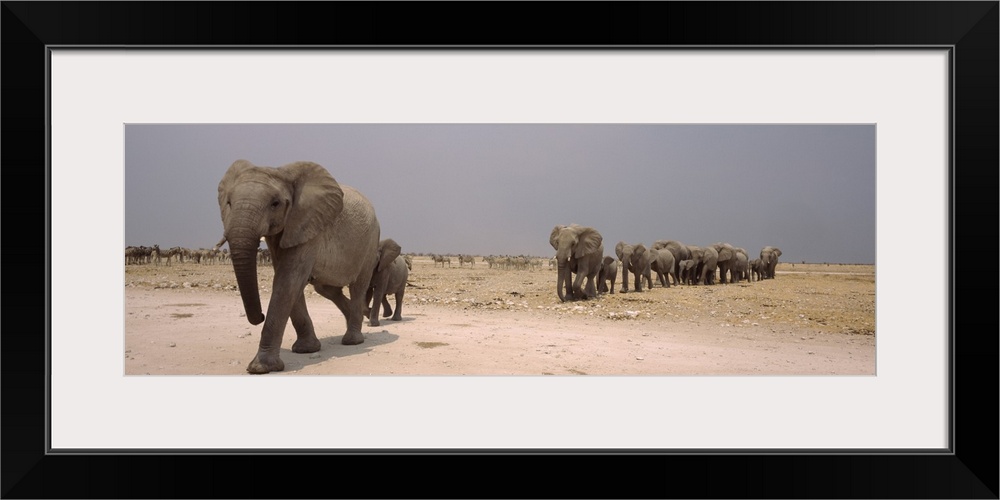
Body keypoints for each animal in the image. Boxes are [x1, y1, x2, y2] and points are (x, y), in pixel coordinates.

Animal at [217, 158, 380, 374]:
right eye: (228, 203)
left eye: (275, 204)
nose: (260, 316)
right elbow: (287, 278)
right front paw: (306, 349)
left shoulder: (308, 225)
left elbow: (289, 278)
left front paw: (260, 367)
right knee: (326, 288)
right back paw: (362, 317)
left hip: (370, 241)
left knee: (358, 286)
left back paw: (353, 341)